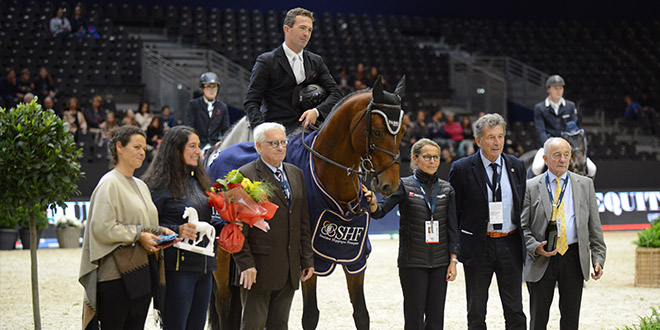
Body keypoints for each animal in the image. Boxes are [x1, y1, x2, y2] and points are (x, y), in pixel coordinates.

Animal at [210, 76, 408, 328]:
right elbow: (311, 315)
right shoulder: (309, 260)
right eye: (377, 131)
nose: (389, 185)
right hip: (223, 253)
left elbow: (362, 314)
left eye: (403, 131)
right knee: (224, 305)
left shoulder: (355, 258)